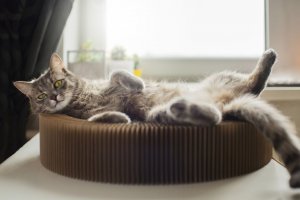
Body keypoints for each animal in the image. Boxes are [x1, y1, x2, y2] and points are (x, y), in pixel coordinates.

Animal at [14, 49, 300, 188]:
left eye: (58, 83)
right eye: (40, 96)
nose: (54, 98)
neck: (84, 97)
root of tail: (227, 103)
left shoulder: (107, 81)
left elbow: (118, 72)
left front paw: (136, 83)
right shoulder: (83, 117)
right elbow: (99, 118)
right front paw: (118, 116)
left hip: (225, 77)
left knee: (254, 84)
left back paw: (268, 57)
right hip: (166, 113)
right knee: (216, 116)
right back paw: (183, 109)